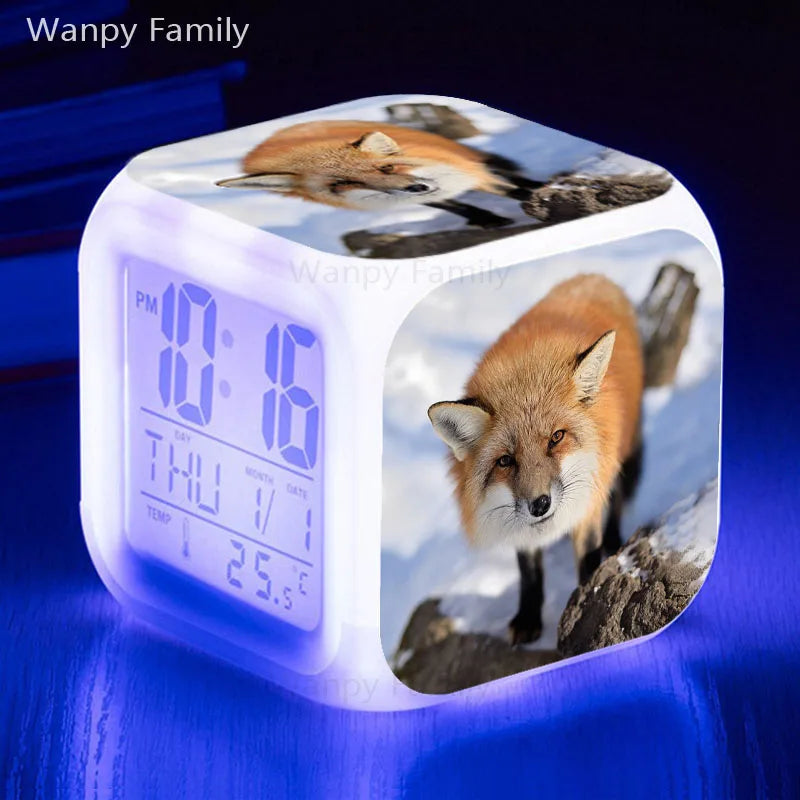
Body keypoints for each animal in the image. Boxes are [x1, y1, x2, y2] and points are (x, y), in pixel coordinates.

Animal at [216, 120, 542, 228]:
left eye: (387, 167)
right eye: (344, 183)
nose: (416, 189)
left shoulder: (470, 174)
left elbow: (510, 190)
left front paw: (535, 200)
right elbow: (459, 207)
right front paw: (486, 220)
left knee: (506, 173)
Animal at [428, 274, 644, 644]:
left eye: (556, 438)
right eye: (505, 461)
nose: (540, 504)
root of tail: (592, 277)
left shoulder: (588, 498)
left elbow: (588, 555)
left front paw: (585, 601)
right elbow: (529, 571)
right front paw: (528, 618)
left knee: (615, 503)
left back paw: (614, 542)